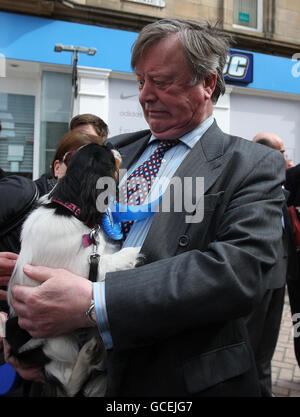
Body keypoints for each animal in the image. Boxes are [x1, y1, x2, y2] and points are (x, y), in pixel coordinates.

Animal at [5, 143, 141, 396]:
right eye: (107, 156)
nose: (111, 144)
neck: (71, 209)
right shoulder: (84, 268)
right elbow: (111, 263)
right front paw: (133, 253)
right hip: (49, 341)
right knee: (69, 384)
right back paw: (88, 354)